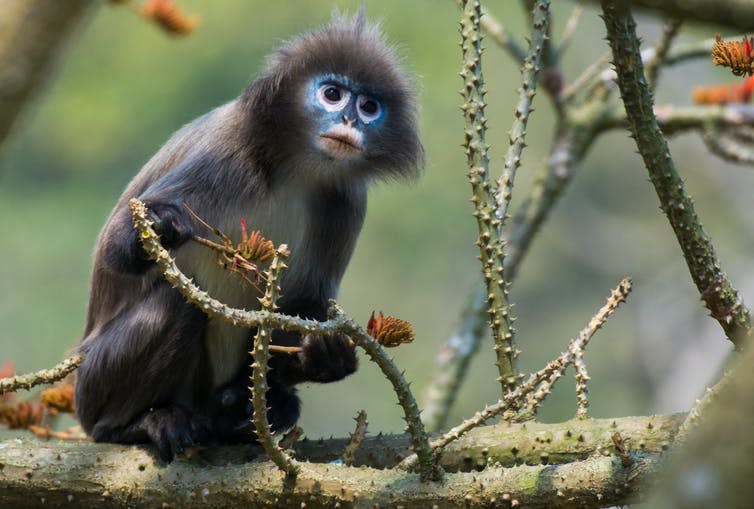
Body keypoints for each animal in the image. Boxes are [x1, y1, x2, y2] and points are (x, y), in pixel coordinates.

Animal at [74, 9, 424, 462]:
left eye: (368, 107)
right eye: (332, 94)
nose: (349, 120)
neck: (294, 169)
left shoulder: (346, 201)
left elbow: (308, 300)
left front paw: (324, 357)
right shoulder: (222, 155)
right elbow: (114, 246)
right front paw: (162, 224)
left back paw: (243, 412)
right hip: (94, 385)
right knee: (176, 303)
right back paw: (134, 425)